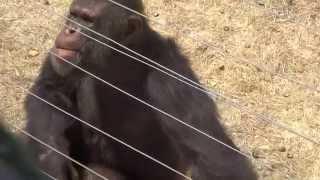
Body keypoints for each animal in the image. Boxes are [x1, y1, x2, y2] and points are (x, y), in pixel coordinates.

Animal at [25, 0, 258, 179]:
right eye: (74, 15)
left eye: (88, 20)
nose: (70, 29)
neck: (118, 58)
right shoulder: (62, 59)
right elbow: (51, 90)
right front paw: (50, 163)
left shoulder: (171, 79)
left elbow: (213, 157)